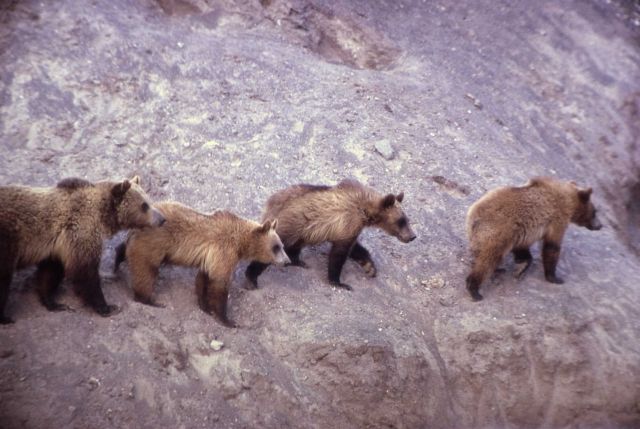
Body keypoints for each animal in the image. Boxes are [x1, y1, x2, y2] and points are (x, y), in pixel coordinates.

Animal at [0, 176, 165, 322]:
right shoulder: (81, 230)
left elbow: (50, 271)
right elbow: (84, 272)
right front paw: (108, 307)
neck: (101, 215)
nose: (162, 219)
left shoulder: (59, 245)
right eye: (144, 205)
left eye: (149, 200)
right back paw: (5, 317)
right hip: (8, 240)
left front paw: (54, 303)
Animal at [114, 202, 290, 326]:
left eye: (281, 245)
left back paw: (116, 262)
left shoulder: (210, 258)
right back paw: (151, 301)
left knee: (126, 252)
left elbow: (203, 279)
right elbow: (219, 284)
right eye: (276, 247)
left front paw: (204, 306)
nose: (287, 261)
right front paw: (227, 320)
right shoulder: (224, 252)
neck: (241, 242)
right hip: (152, 244)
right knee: (145, 272)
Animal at [244, 177, 416, 290]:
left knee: (295, 246)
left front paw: (370, 267)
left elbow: (355, 248)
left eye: (407, 219)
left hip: (302, 231)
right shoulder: (347, 223)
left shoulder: (350, 229)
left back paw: (298, 261)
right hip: (288, 226)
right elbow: (338, 255)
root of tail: (270, 204)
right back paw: (251, 279)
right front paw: (340, 282)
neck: (365, 211)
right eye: (401, 221)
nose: (412, 236)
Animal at [464, 176, 600, 300]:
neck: (569, 202)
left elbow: (522, 249)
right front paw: (555, 277)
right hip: (497, 232)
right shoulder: (557, 219)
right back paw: (475, 290)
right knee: (489, 260)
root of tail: (475, 216)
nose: (600, 225)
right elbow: (552, 247)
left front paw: (521, 266)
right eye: (595, 212)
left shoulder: (519, 233)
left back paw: (498, 269)